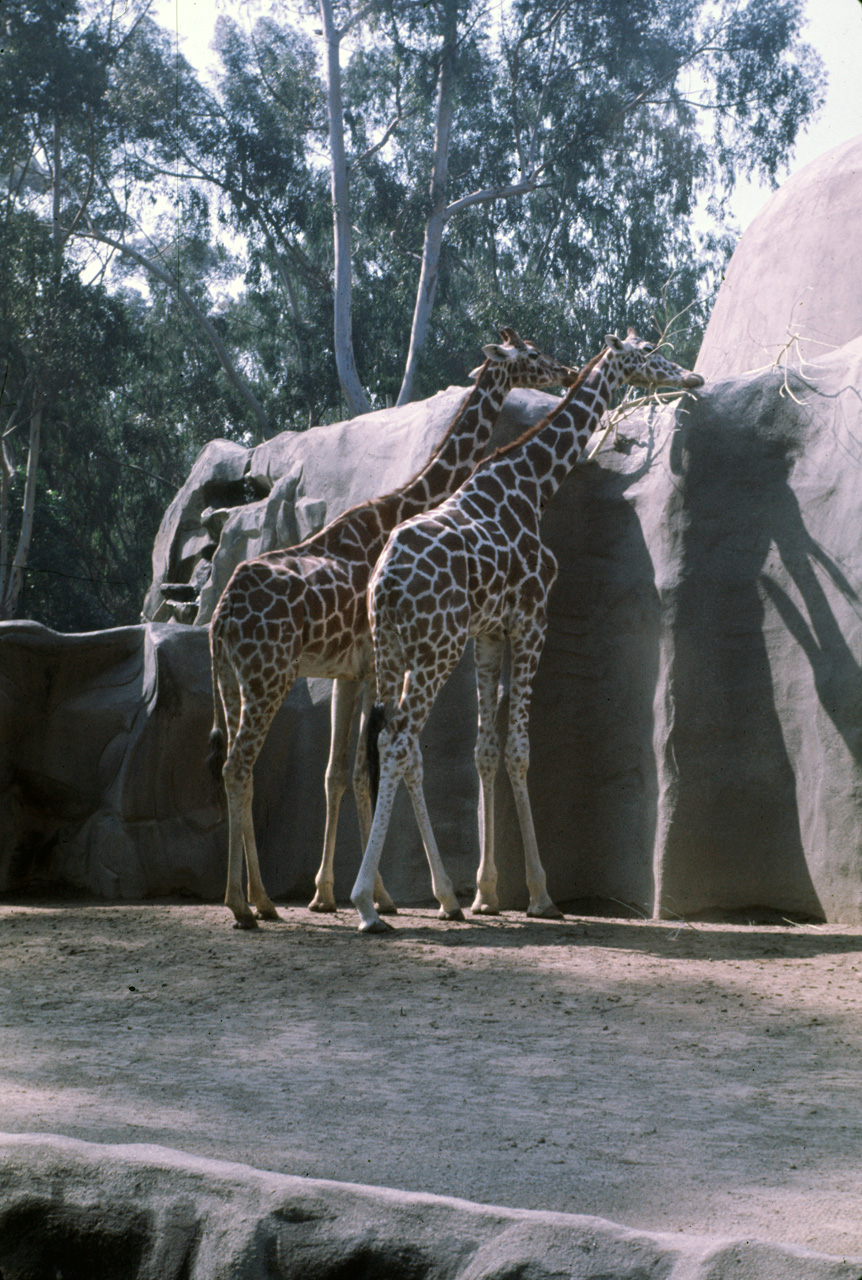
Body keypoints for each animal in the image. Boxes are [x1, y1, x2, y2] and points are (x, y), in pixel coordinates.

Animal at [206, 330, 578, 931]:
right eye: (532, 354)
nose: (566, 370)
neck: (397, 507)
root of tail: (217, 619)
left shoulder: (349, 671)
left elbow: (345, 772)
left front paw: (340, 894)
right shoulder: (368, 664)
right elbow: (372, 765)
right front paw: (385, 896)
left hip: (236, 682)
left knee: (239, 768)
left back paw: (259, 899)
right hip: (268, 677)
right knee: (241, 764)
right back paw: (244, 903)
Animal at [353, 330, 701, 931]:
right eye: (649, 353)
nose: (693, 377)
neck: (532, 486)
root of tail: (385, 582)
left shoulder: (489, 633)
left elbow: (485, 750)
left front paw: (485, 893)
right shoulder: (533, 618)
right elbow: (518, 748)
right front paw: (541, 894)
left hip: (394, 650)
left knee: (389, 739)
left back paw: (436, 898)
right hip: (436, 647)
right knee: (399, 744)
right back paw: (367, 906)